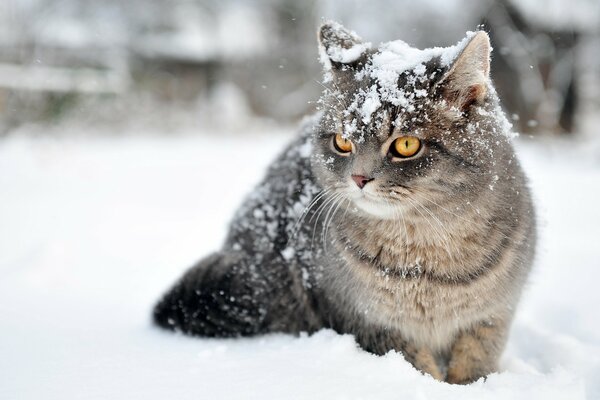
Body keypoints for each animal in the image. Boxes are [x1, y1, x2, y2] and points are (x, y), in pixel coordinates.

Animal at [152, 21, 536, 384]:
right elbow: (418, 366)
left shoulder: (491, 318)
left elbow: (475, 364)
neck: (424, 258)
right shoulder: (368, 321)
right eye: (342, 142)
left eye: (406, 145)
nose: (359, 178)